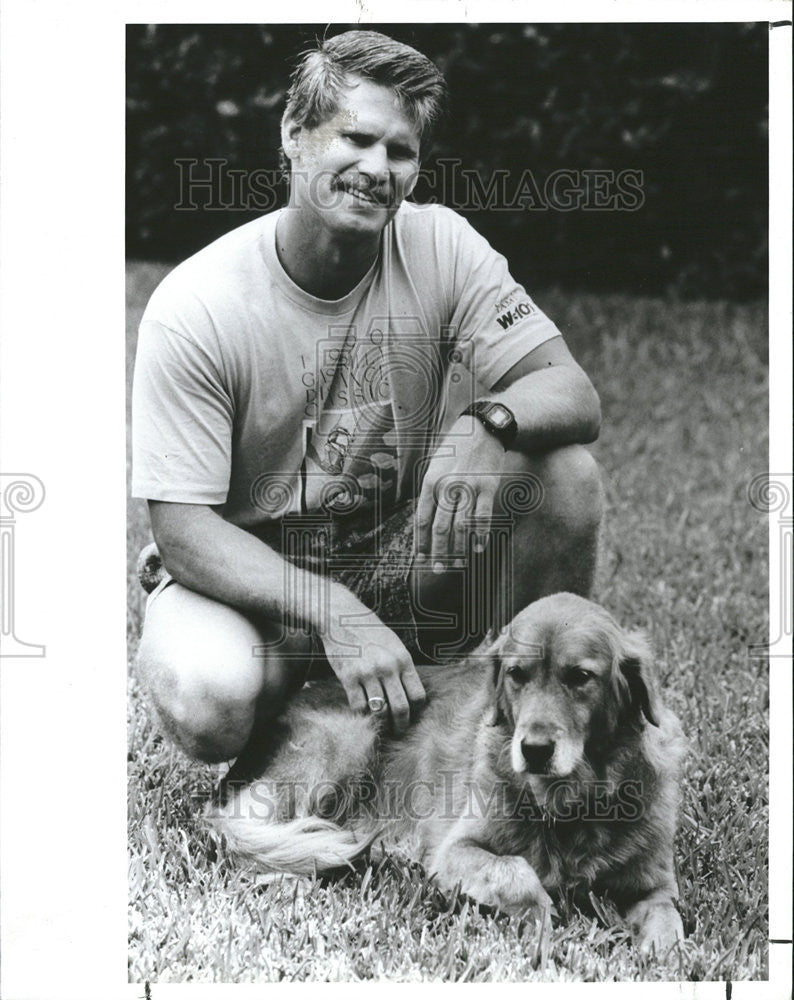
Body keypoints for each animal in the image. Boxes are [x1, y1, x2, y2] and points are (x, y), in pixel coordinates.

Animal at [207, 592, 684, 952]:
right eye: (517, 674)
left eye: (581, 676)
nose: (533, 750)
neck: (572, 801)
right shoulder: (455, 851)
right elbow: (515, 873)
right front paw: (543, 923)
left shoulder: (654, 883)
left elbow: (670, 922)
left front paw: (664, 957)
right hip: (346, 739)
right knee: (251, 832)